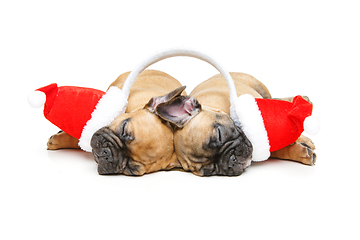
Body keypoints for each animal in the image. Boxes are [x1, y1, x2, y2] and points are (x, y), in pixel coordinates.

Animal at [156, 72, 316, 176]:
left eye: (219, 134)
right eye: (211, 170)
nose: (232, 161)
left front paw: (302, 139)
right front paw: (299, 152)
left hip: (258, 87)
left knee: (273, 99)